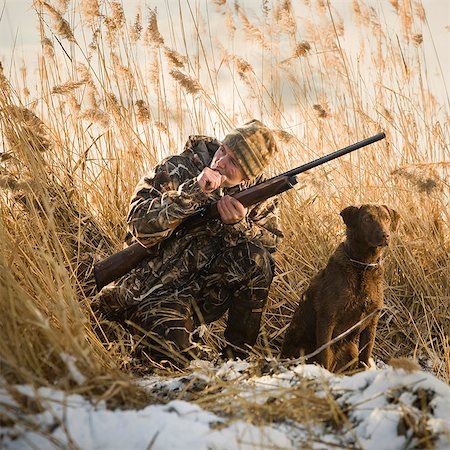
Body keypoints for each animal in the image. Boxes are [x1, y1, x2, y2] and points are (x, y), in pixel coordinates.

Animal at [282, 205, 400, 372]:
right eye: (367, 219)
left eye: (387, 218)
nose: (385, 235)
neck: (362, 266)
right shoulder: (327, 319)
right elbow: (324, 356)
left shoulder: (372, 322)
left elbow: (365, 358)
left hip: (351, 349)